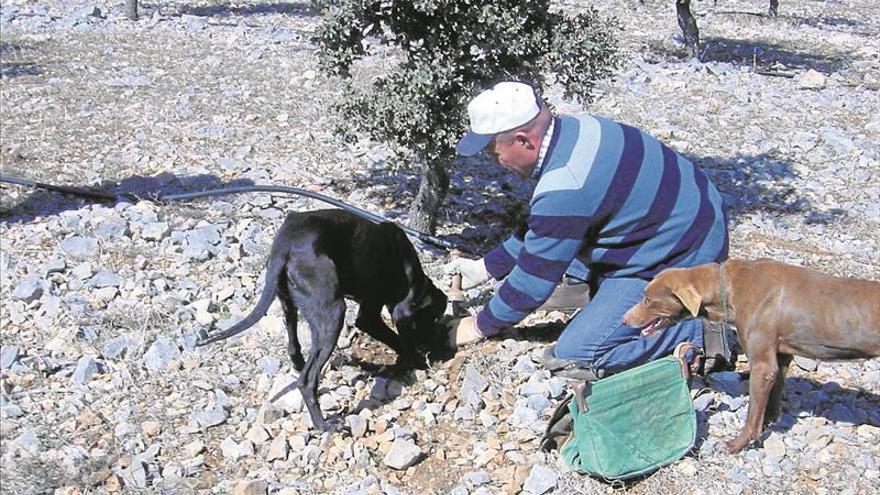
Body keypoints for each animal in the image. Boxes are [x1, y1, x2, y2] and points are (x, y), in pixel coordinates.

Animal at [199, 209, 446, 430]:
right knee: (307, 381)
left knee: (294, 345)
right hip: (333, 313)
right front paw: (413, 362)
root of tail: (284, 246)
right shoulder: (371, 315)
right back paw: (323, 424)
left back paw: (299, 364)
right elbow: (399, 339)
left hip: (292, 304)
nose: (433, 348)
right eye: (432, 319)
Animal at [620, 258, 880, 456]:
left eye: (647, 299)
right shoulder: (780, 357)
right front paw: (770, 423)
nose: (623, 320)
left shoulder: (763, 365)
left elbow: (753, 415)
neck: (727, 288)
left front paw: (738, 444)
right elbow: (773, 399)